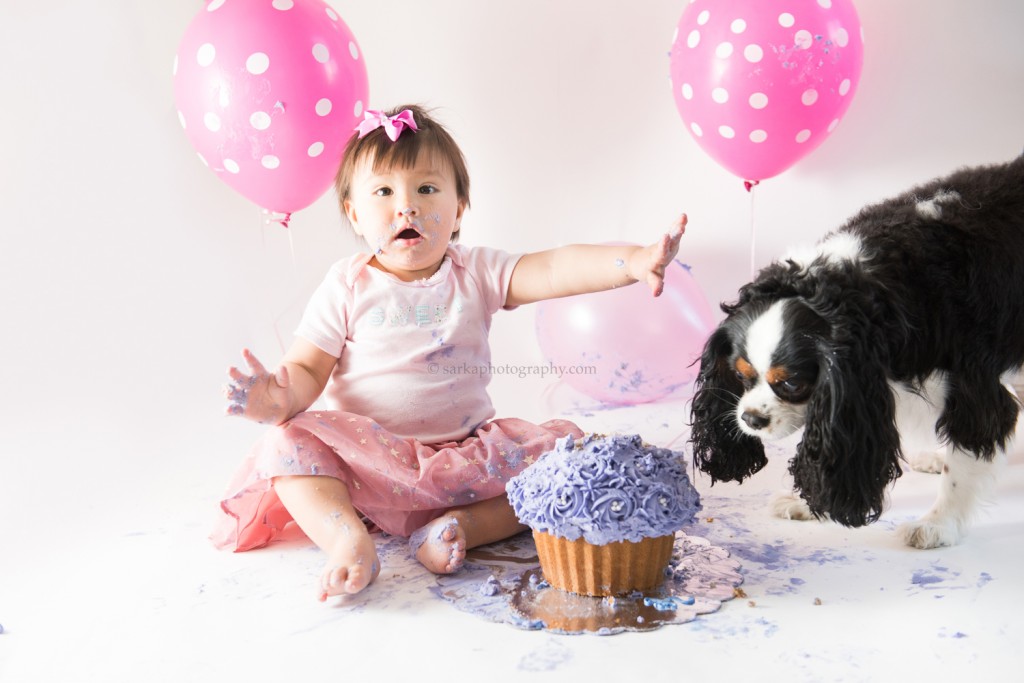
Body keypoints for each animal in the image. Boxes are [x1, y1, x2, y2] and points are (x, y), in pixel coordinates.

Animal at [688, 154, 1024, 548]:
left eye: (791, 384)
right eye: (740, 375)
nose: (751, 419)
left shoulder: (976, 390)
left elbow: (963, 464)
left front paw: (938, 525)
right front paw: (809, 505)